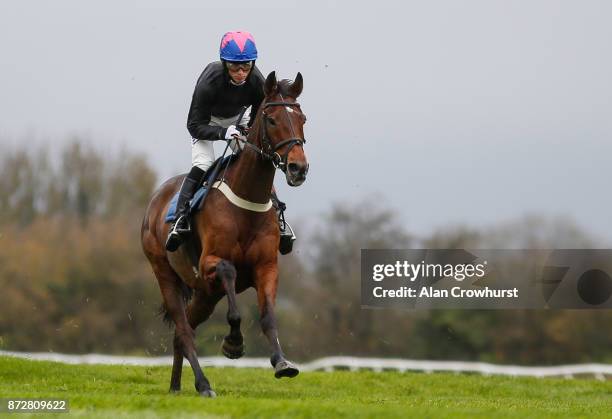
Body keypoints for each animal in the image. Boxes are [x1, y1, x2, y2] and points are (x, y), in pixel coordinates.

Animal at [141, 71, 308, 398]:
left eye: (303, 118)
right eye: (272, 119)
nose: (299, 168)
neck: (246, 201)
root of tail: (156, 200)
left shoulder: (266, 266)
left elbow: (268, 316)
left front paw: (282, 362)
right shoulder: (211, 263)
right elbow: (230, 279)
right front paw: (233, 343)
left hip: (206, 293)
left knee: (184, 331)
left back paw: (177, 386)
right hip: (166, 274)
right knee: (183, 329)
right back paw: (203, 384)